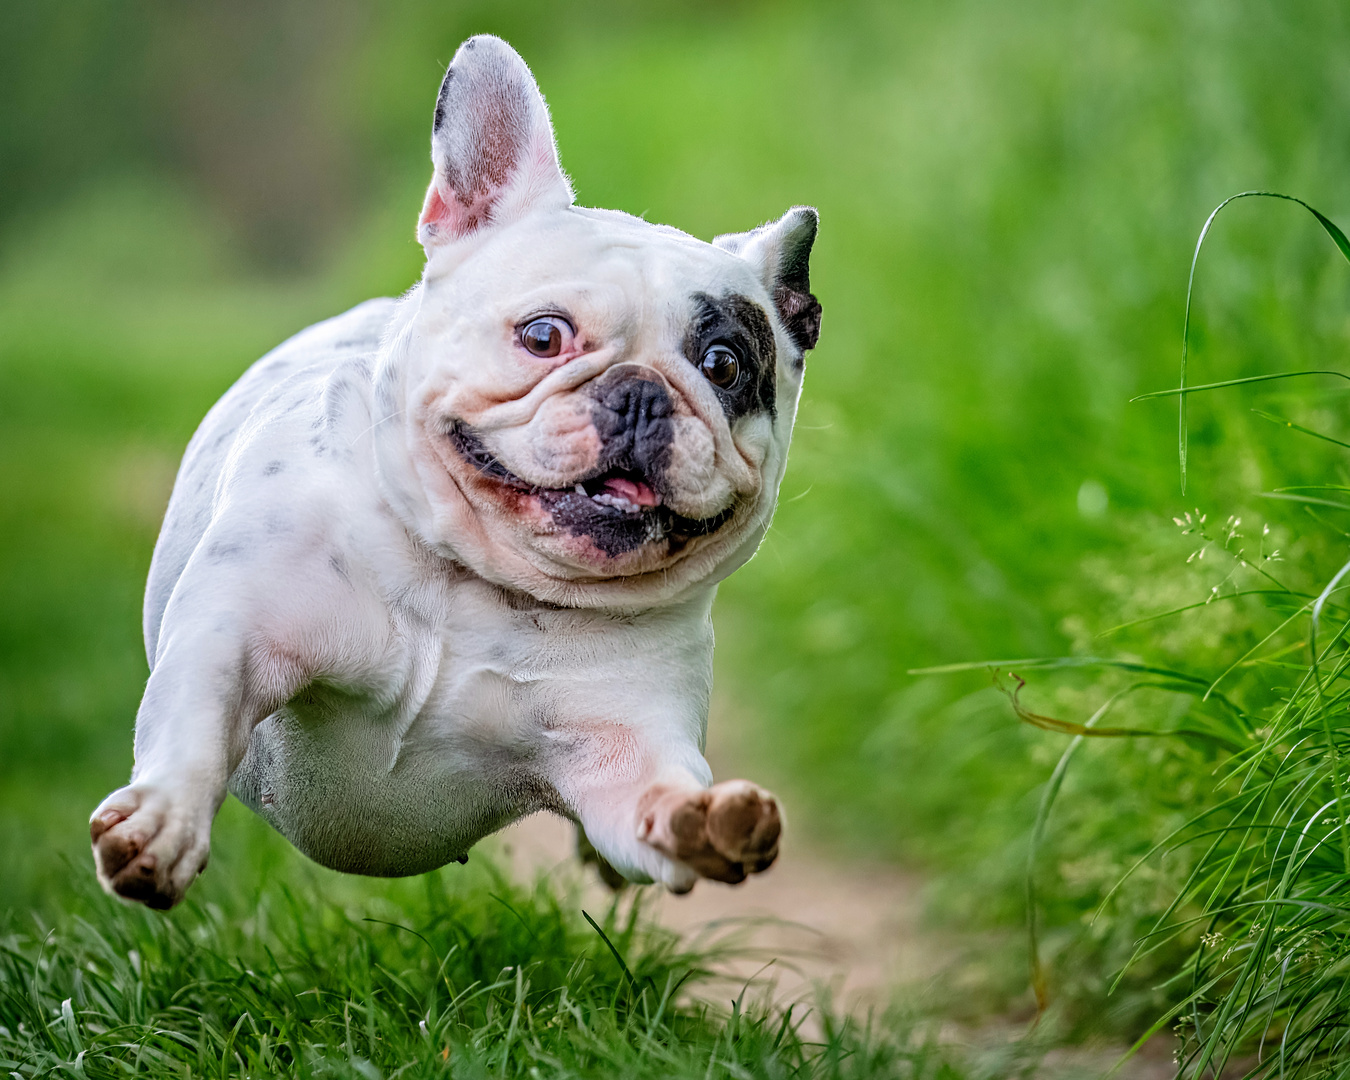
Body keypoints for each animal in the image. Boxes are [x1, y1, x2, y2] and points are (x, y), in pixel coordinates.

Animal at [89, 35, 820, 912]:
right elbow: (196, 718)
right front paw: (162, 821)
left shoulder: (628, 743)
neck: (476, 582)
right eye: (544, 337)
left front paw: (702, 820)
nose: (641, 394)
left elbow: (652, 793)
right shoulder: (236, 632)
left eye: (725, 365)